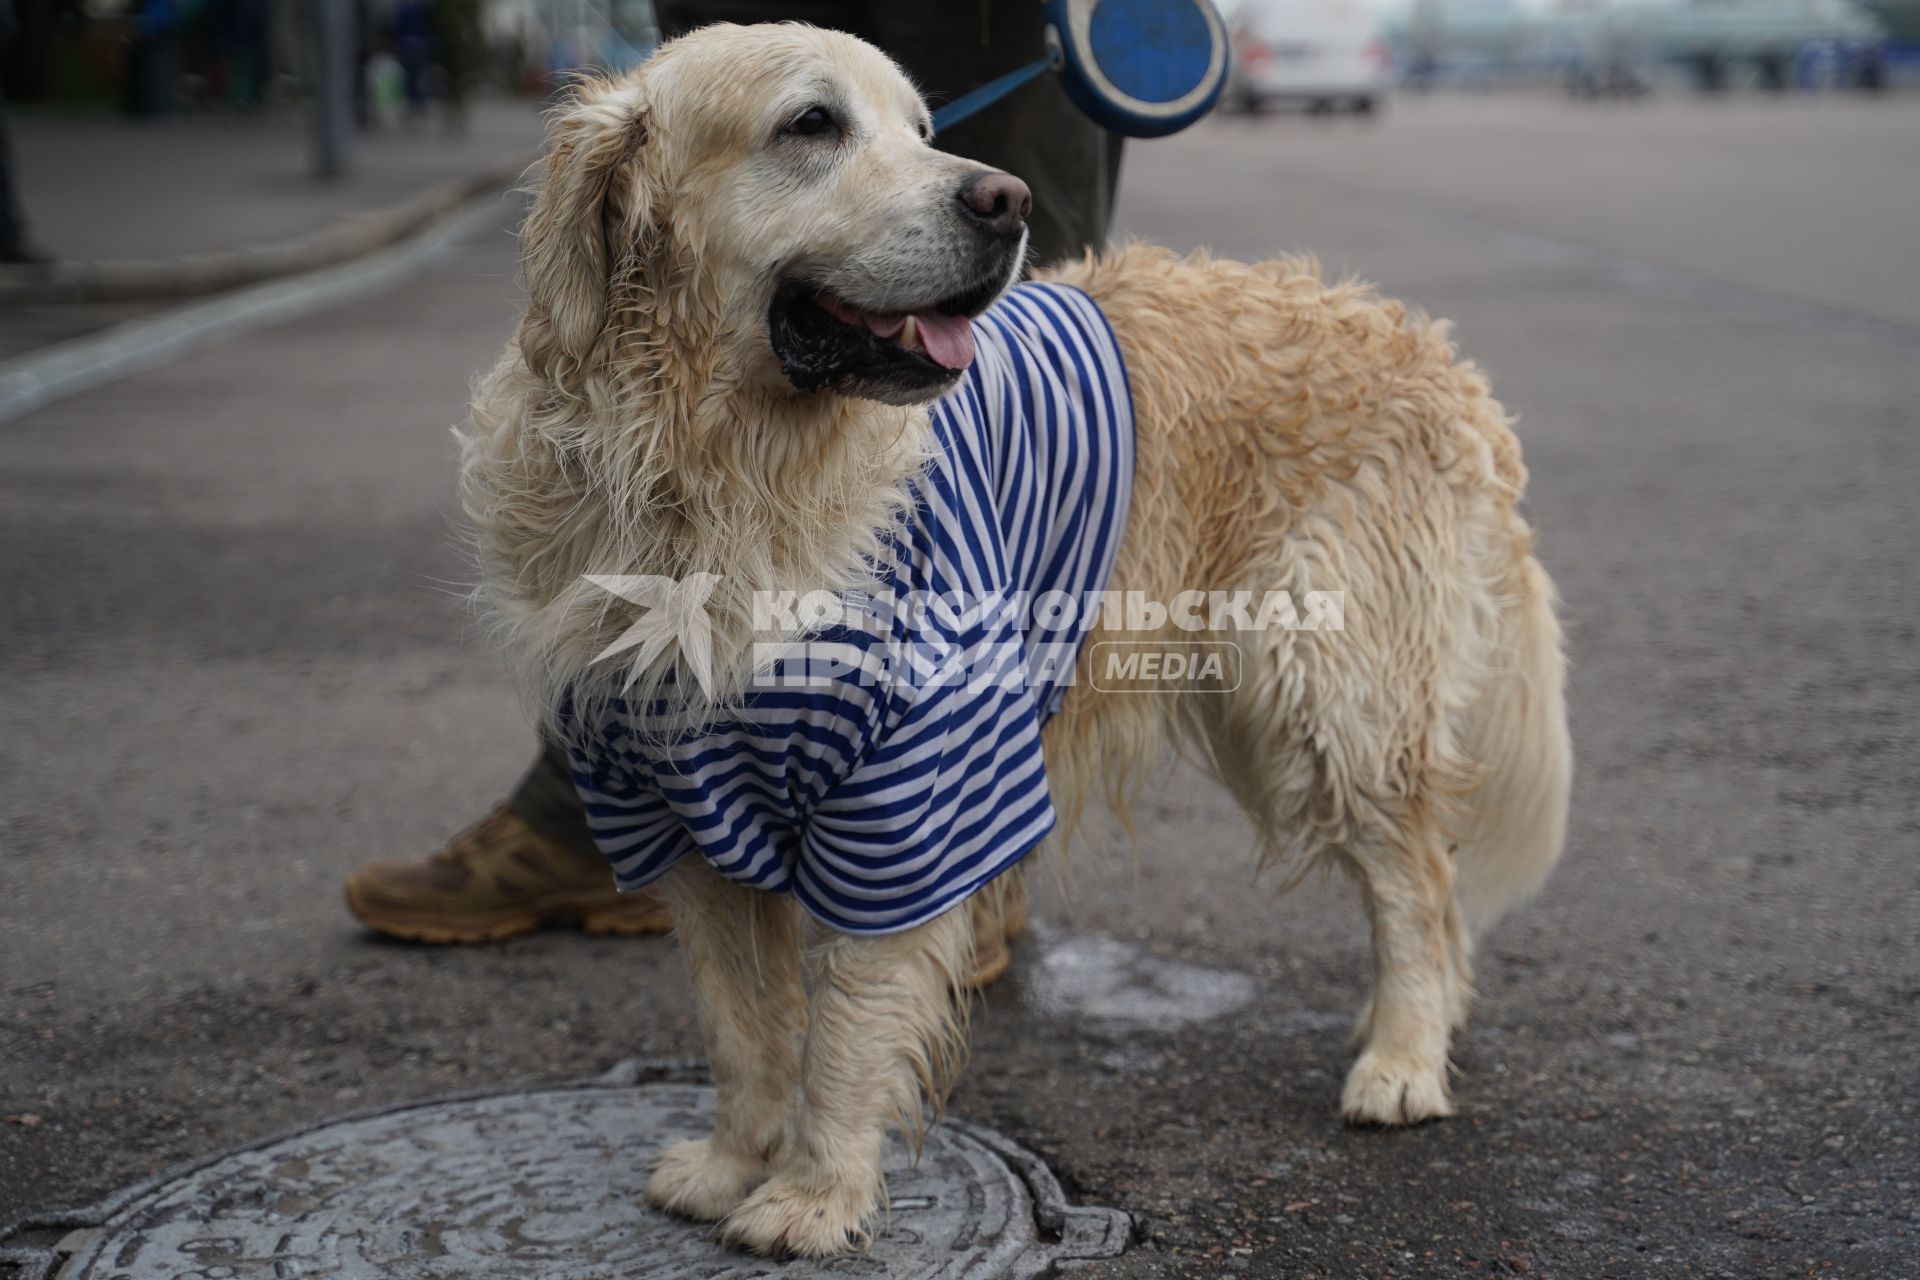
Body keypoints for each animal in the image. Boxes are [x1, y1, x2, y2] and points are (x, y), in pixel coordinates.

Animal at [456, 22, 1566, 1258]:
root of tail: (1430, 346)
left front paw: (814, 1193)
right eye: (811, 124)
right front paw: (735, 1160)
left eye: (922, 128)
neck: (720, 479)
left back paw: (1402, 1058)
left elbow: (844, 1031)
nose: (1004, 199)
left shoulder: (901, 800)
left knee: (1420, 887)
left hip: (1328, 697)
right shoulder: (670, 807)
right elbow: (743, 1024)